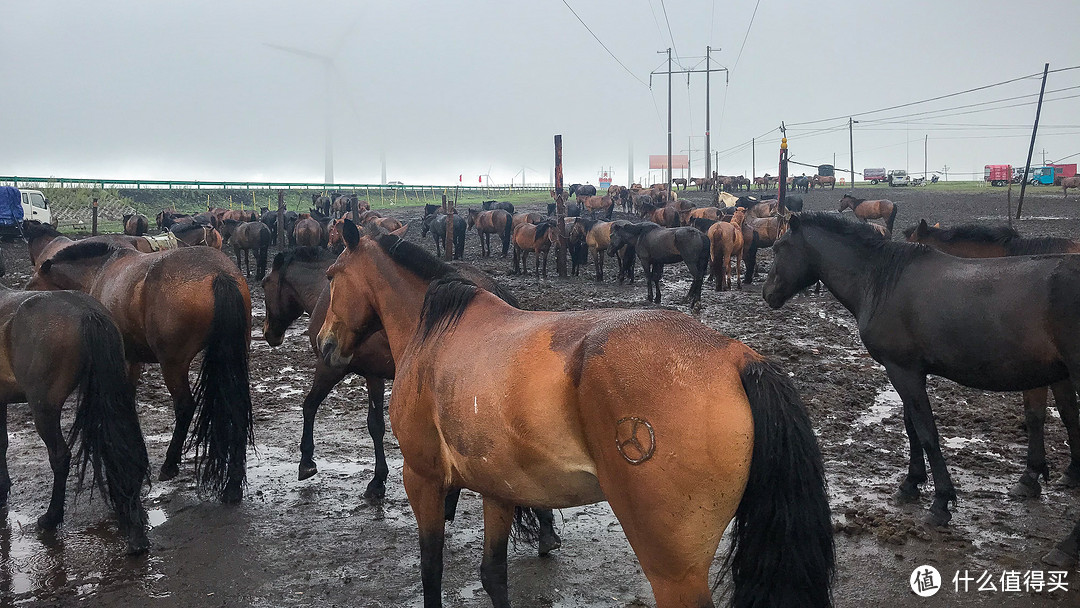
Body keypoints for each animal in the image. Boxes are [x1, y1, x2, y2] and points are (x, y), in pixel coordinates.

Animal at [26, 235, 253, 501]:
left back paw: (170, 464)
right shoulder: (132, 360)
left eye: (32, 289)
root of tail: (219, 274)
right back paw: (233, 485)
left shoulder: (122, 360)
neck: (100, 270)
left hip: (173, 364)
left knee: (185, 407)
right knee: (237, 406)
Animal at [313, 222, 833, 608]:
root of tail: (737, 356)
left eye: (332, 274)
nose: (324, 343)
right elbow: (493, 575)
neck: (436, 330)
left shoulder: (421, 478)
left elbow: (431, 569)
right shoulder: (497, 489)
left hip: (674, 571)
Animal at [760, 211, 1080, 548]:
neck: (881, 282)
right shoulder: (906, 372)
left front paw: (940, 503)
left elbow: (927, 433)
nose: (767, 293)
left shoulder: (904, 371)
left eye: (779, 248)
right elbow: (910, 426)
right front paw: (911, 483)